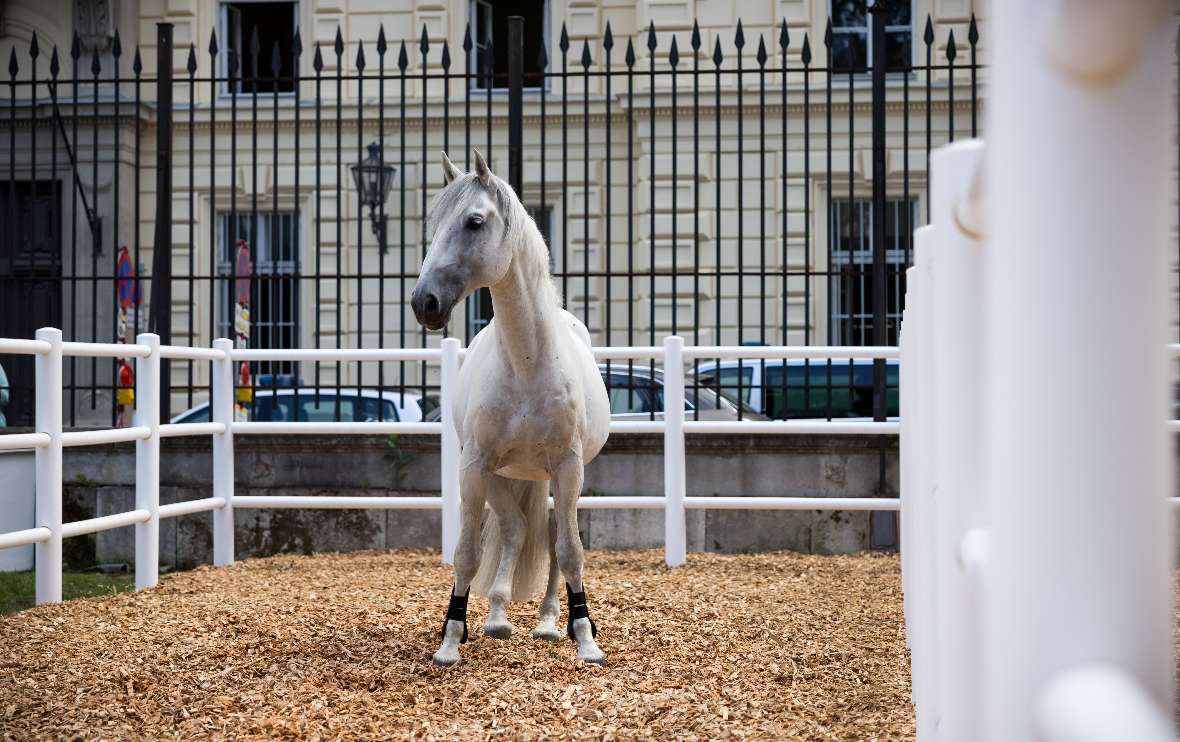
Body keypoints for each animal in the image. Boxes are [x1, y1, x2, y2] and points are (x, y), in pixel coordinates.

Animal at [412, 147, 613, 660]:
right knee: (515, 529)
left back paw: (549, 622)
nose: (424, 302)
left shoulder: (568, 468)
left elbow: (569, 551)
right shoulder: (475, 468)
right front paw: (451, 639)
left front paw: (586, 638)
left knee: (551, 537)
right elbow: (467, 553)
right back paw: (499, 617)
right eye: (434, 222)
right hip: (503, 477)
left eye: (474, 221)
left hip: (554, 478)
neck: (526, 361)